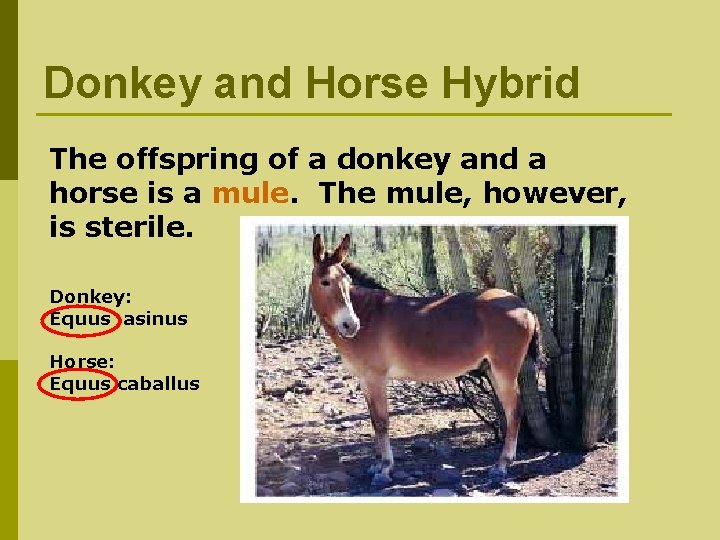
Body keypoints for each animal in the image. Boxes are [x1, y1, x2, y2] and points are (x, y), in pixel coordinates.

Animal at [309, 233, 540, 486]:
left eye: (347, 282)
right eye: (325, 282)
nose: (351, 325)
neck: (370, 315)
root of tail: (524, 306)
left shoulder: (376, 378)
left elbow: (382, 421)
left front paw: (385, 469)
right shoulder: (364, 380)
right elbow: (373, 420)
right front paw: (377, 465)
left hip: (504, 370)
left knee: (514, 410)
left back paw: (501, 466)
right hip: (493, 370)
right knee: (513, 411)